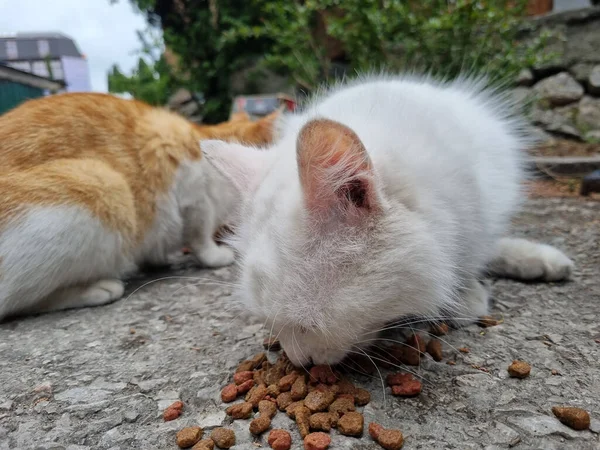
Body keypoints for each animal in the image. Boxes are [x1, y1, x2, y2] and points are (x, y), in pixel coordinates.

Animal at [0, 91, 278, 320]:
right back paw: (96, 289)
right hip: (106, 186)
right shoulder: (195, 197)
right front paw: (215, 255)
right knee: (14, 302)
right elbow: (200, 236)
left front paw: (155, 260)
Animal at [204, 75, 576, 368]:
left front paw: (464, 296)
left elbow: (469, 256)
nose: (299, 363)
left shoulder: (474, 208)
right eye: (269, 323)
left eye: (307, 326)